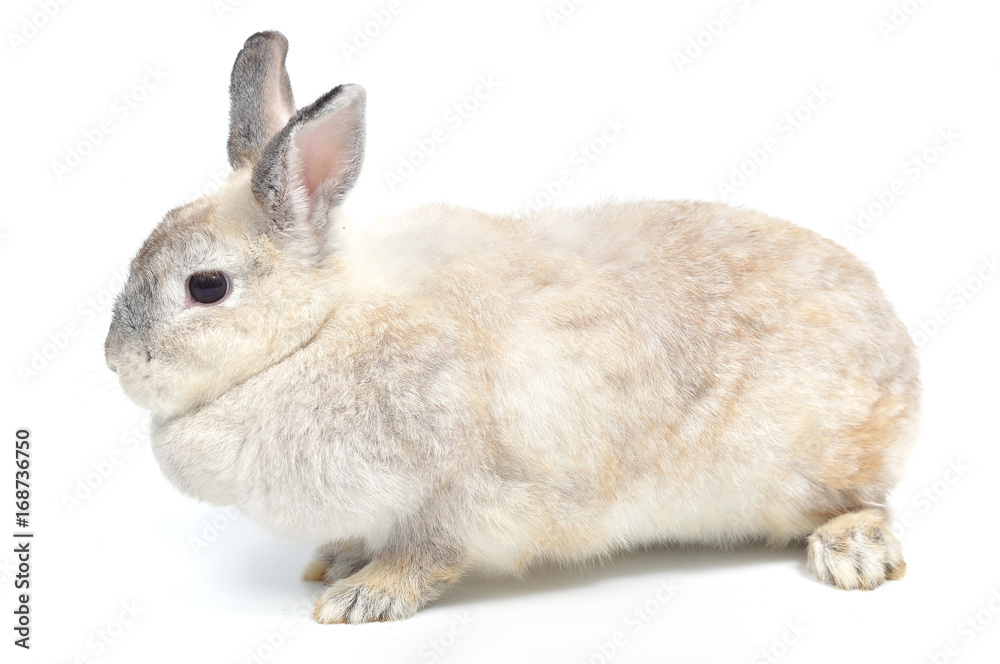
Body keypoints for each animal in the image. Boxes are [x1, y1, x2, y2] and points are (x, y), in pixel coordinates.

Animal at [105, 30, 920, 624]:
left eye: (206, 287)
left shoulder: (457, 495)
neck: (320, 328)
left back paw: (852, 555)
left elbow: (425, 554)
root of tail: (901, 354)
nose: (117, 361)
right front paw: (336, 562)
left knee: (868, 502)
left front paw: (359, 599)